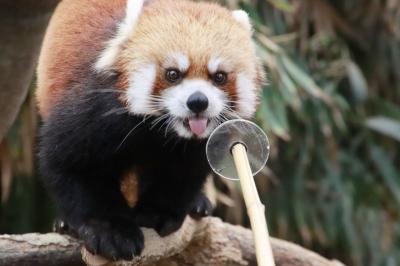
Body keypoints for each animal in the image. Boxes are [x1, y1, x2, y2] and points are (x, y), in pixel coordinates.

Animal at [36, 0, 264, 260]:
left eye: (219, 77)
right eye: (173, 73)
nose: (198, 102)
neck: (162, 132)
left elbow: (181, 173)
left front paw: (156, 213)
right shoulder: (94, 111)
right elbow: (72, 165)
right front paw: (111, 231)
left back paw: (198, 203)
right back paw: (65, 225)